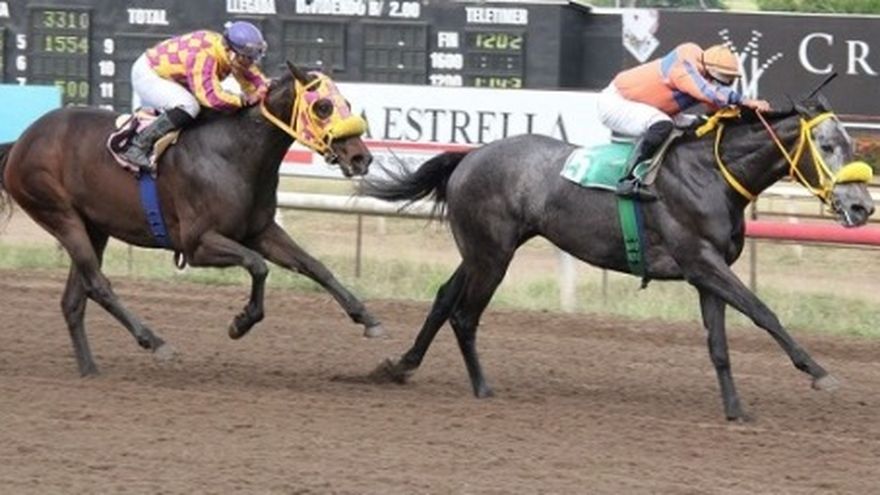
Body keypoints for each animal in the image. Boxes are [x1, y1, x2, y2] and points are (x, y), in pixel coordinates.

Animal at [0, 62, 385, 376]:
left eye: (347, 103)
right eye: (322, 107)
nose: (361, 158)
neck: (234, 153)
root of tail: (21, 141)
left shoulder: (260, 230)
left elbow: (314, 266)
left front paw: (368, 318)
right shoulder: (198, 244)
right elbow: (258, 266)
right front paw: (241, 322)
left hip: (93, 227)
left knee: (73, 300)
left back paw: (89, 369)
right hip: (60, 215)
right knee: (97, 284)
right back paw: (154, 341)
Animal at [361, 97, 875, 421]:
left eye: (852, 145)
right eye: (827, 146)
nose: (861, 207)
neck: (713, 173)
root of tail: (469, 157)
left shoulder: (706, 273)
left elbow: (719, 345)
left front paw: (735, 409)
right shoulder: (702, 261)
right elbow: (764, 312)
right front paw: (819, 373)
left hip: (482, 250)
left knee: (443, 298)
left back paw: (400, 366)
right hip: (492, 255)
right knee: (465, 315)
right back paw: (483, 388)